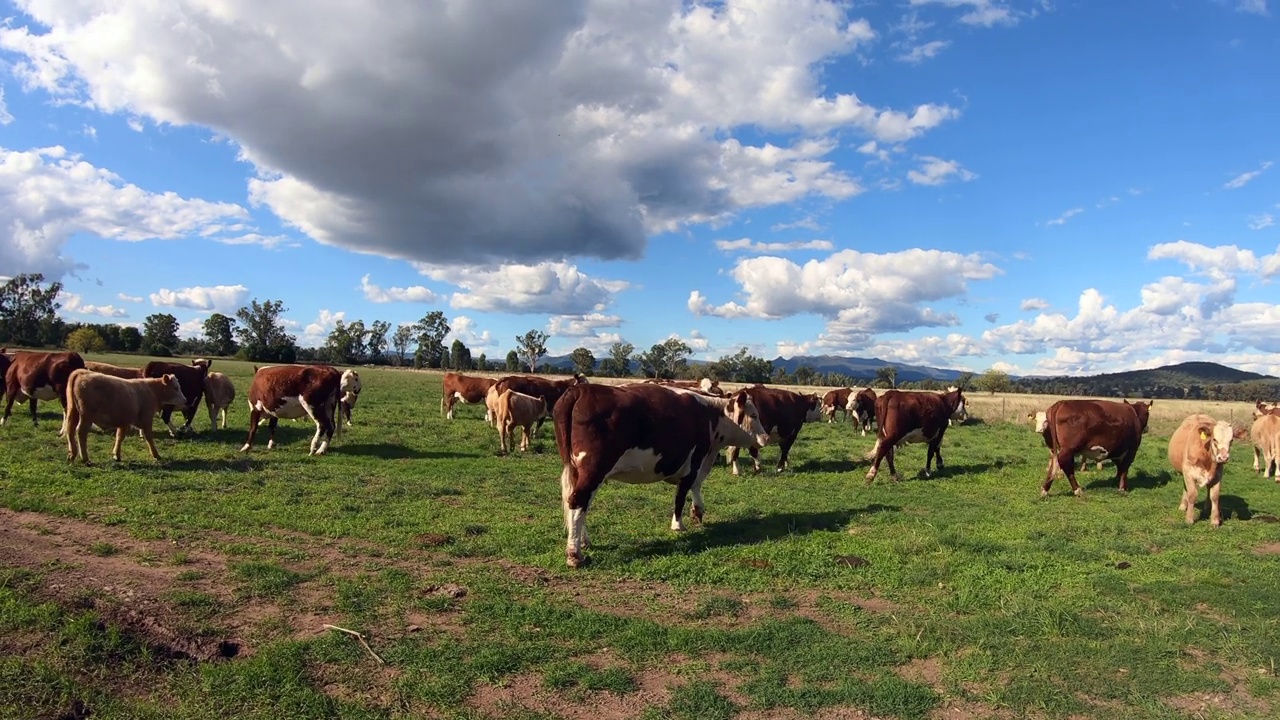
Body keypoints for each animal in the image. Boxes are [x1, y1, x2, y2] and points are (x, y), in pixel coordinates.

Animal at [552, 381, 768, 566]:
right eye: (754, 415)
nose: (765, 438)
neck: (711, 416)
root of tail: (581, 390)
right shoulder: (693, 462)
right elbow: (682, 495)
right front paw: (678, 525)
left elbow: (695, 487)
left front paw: (697, 512)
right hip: (594, 469)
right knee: (578, 501)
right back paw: (574, 554)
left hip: (578, 470)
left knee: (579, 504)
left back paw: (583, 541)